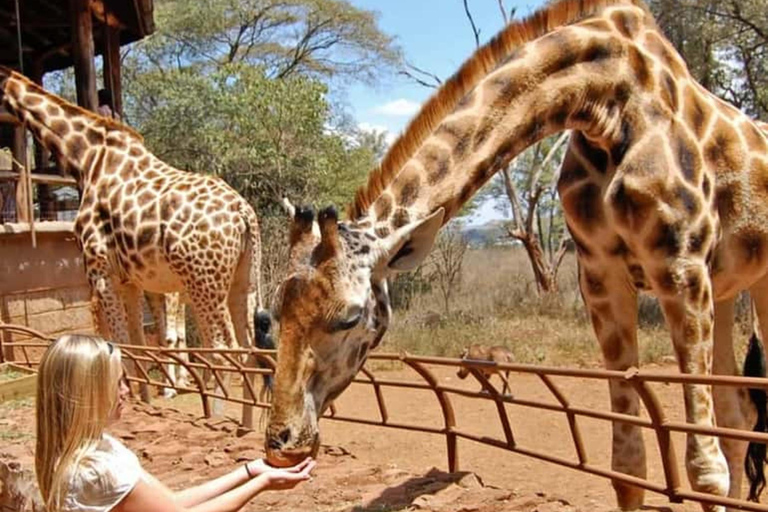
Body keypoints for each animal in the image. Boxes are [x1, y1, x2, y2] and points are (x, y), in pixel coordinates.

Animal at [0, 66, 263, 428]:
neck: (86, 158)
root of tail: (242, 212)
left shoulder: (99, 271)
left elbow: (118, 342)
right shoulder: (131, 280)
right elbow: (137, 342)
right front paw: (144, 398)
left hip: (203, 283)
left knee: (224, 348)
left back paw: (218, 417)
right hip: (243, 279)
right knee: (249, 347)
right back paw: (247, 424)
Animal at [263, 0, 768, 510]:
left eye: (349, 317)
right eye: (275, 312)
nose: (282, 442)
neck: (607, 104)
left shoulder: (680, 267)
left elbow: (704, 469)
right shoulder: (601, 279)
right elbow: (628, 465)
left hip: (752, 284)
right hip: (726, 288)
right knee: (739, 413)